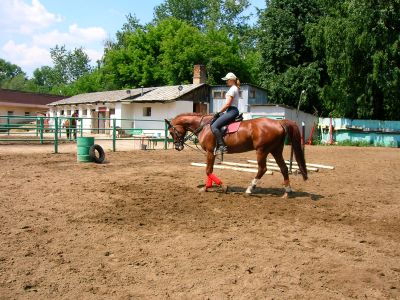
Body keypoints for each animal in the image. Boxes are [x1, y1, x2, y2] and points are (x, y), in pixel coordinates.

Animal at [164, 112, 308, 197]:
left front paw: (223, 187)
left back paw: (249, 189)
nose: (178, 146)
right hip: (275, 150)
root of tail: (278, 122)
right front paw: (207, 187)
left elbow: (208, 170)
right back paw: (287, 192)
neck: (203, 126)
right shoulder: (212, 153)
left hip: (262, 150)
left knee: (263, 169)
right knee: (284, 168)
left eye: (171, 132)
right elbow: (210, 170)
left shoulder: (210, 151)